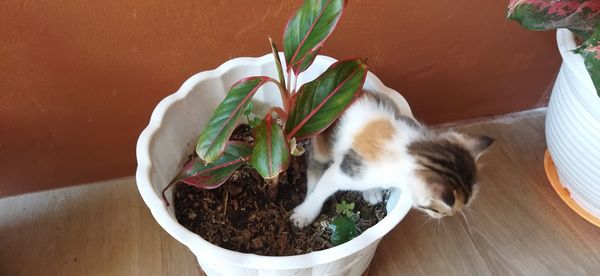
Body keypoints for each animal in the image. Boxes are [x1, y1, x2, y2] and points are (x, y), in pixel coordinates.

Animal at [290, 91, 492, 227]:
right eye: (435, 210)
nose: (443, 217)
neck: (409, 149)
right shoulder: (345, 171)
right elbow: (322, 190)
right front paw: (304, 213)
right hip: (321, 139)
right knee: (314, 166)